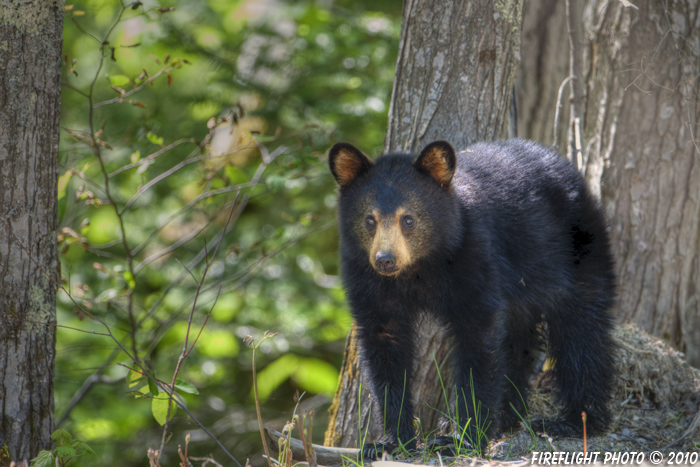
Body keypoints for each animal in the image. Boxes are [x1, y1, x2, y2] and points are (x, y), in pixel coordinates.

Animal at [328, 138, 612, 458]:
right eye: (370, 220)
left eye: (408, 219)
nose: (385, 260)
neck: (419, 269)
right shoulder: (366, 278)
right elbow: (385, 346)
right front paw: (390, 441)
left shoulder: (472, 256)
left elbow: (478, 341)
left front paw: (461, 439)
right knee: (518, 342)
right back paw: (507, 416)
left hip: (576, 249)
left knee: (581, 329)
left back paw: (574, 421)